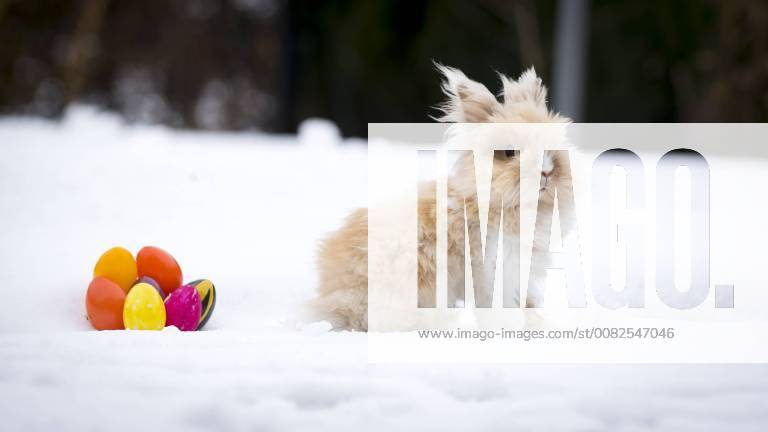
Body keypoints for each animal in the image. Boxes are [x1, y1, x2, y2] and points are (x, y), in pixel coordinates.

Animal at [309, 66, 572, 331]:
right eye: (509, 152)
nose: (546, 172)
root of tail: (334, 299)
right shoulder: (494, 272)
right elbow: (499, 309)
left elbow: (527, 303)